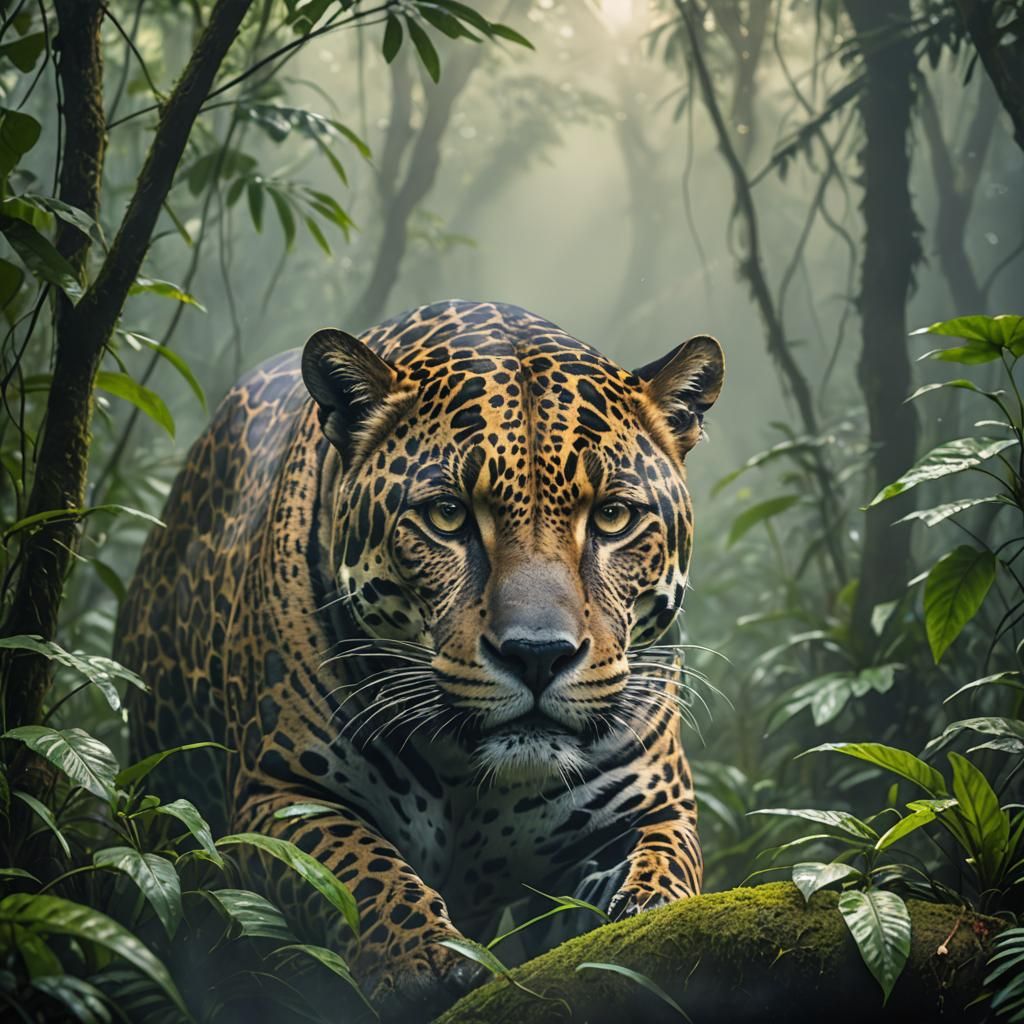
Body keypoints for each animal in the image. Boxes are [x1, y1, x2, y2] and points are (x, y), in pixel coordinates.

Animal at [114, 299, 724, 1020]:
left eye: (613, 517)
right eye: (447, 515)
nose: (538, 655)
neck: (471, 774)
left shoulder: (645, 806)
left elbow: (662, 868)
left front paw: (647, 926)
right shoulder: (282, 792)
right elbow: (359, 869)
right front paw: (421, 961)